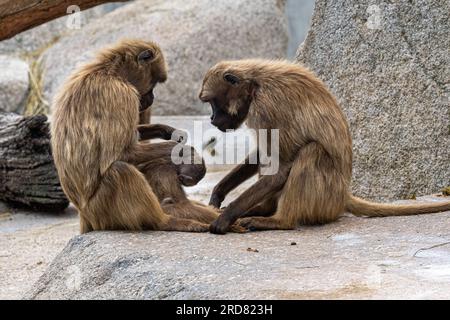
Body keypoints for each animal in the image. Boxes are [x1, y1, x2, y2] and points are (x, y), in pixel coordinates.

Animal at [200, 60, 450, 234]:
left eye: (212, 102)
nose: (211, 119)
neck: (256, 84)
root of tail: (343, 195)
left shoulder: (266, 109)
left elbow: (281, 169)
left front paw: (226, 217)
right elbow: (264, 154)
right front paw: (219, 193)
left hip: (326, 197)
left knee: (311, 151)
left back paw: (278, 221)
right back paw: (264, 209)